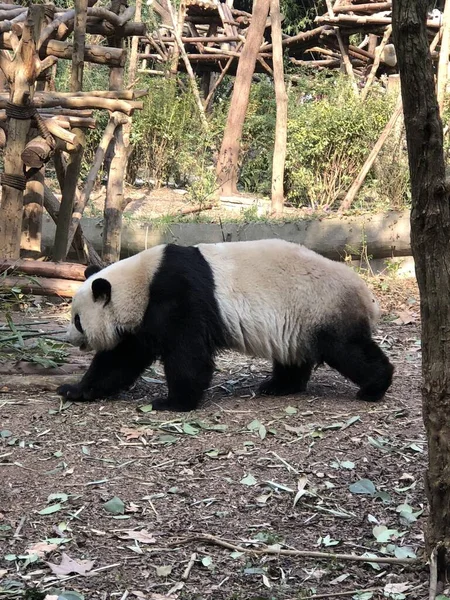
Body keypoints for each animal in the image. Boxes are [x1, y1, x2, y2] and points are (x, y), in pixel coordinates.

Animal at [57, 239, 394, 412]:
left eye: (77, 320)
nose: (68, 338)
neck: (141, 282)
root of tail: (367, 295)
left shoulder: (178, 296)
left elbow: (188, 355)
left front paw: (172, 402)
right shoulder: (142, 319)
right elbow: (121, 359)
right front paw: (74, 390)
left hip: (321, 306)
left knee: (348, 350)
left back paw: (374, 387)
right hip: (296, 321)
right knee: (293, 355)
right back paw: (277, 386)